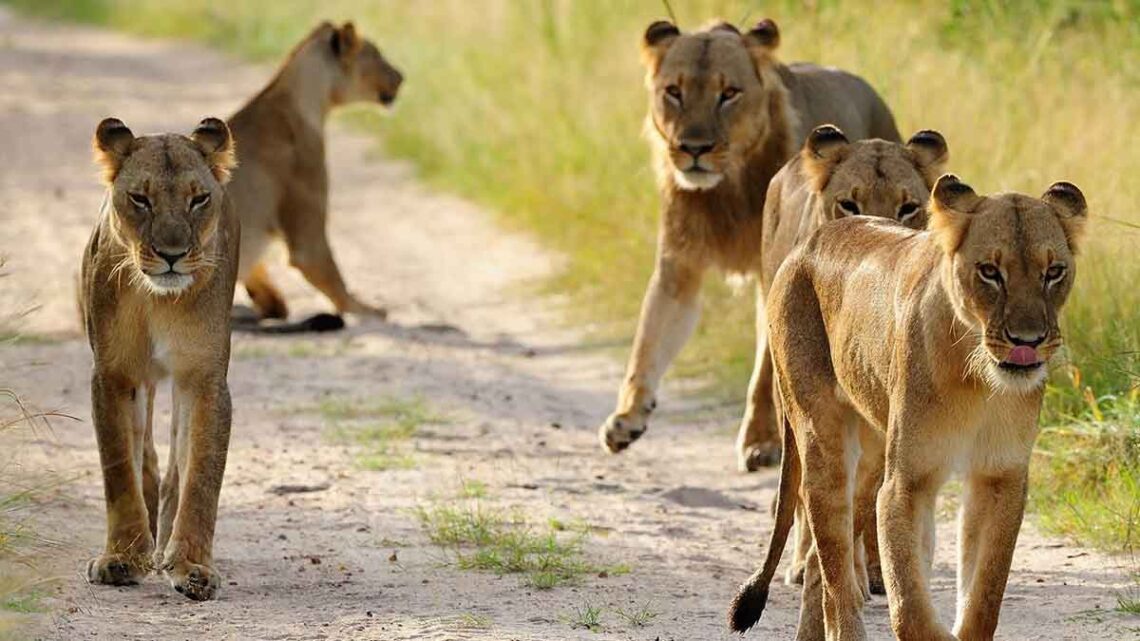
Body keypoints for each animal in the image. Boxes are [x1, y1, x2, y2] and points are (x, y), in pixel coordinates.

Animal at [81, 114, 241, 597]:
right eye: (140, 199)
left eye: (199, 199)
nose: (172, 256)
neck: (158, 299)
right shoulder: (113, 374)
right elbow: (119, 467)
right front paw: (122, 557)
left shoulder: (204, 378)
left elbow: (202, 474)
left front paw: (192, 566)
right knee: (147, 458)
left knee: (174, 468)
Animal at [601, 19, 902, 469]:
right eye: (674, 91)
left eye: (729, 93)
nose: (694, 149)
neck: (724, 190)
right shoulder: (678, 266)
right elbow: (647, 340)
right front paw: (626, 417)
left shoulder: (772, 274)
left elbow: (762, 370)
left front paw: (761, 442)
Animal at [729, 174, 1085, 638]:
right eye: (990, 272)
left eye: (1053, 272)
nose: (1028, 341)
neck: (978, 378)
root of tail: (808, 242)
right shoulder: (906, 484)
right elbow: (910, 605)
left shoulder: (999, 477)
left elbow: (984, 597)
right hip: (822, 436)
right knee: (834, 566)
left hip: (873, 453)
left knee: (820, 567)